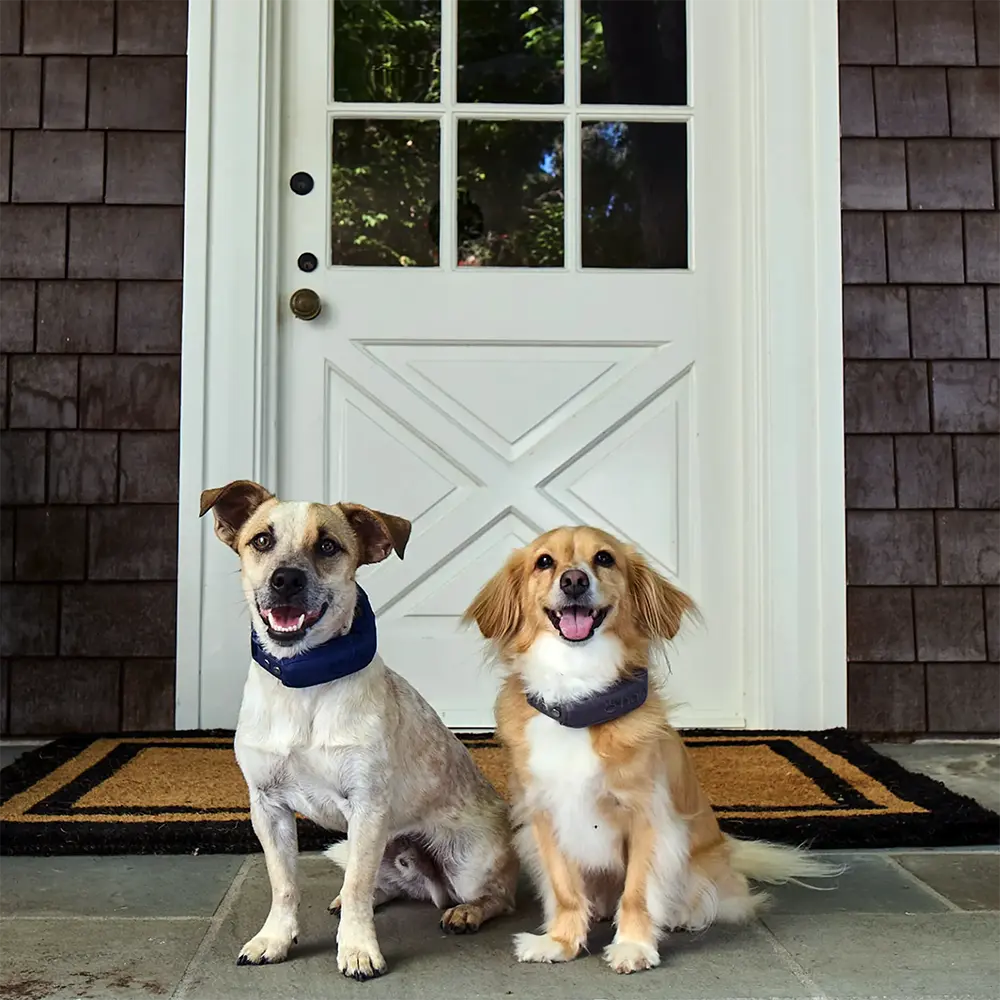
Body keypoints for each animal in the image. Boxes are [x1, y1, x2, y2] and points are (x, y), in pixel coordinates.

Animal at [200, 480, 520, 980]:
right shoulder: (268, 807)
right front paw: (274, 939)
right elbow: (285, 884)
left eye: (328, 546)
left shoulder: (366, 805)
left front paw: (356, 951)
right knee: (382, 885)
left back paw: (466, 912)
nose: (286, 579)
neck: (305, 682)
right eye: (262, 540)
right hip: (360, 845)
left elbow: (356, 891)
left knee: (497, 896)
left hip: (465, 862)